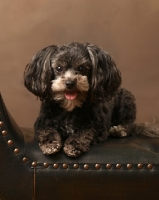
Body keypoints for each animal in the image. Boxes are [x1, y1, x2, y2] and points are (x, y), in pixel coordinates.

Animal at [23, 42, 158, 158]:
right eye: (59, 68)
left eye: (82, 68)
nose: (70, 83)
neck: (70, 108)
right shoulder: (41, 122)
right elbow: (46, 130)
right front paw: (50, 144)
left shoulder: (99, 127)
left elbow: (85, 132)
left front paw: (74, 144)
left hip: (126, 98)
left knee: (129, 125)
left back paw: (118, 130)